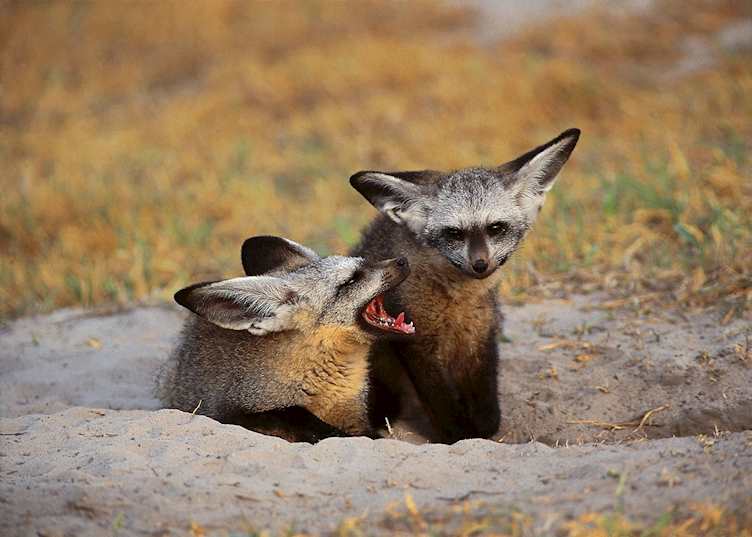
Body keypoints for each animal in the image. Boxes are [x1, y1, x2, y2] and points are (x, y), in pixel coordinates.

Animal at [157, 235, 414, 442]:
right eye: (350, 281)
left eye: (365, 262)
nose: (403, 260)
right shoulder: (230, 412)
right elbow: (295, 415)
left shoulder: (355, 416)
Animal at [349, 128, 581, 443]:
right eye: (454, 234)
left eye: (495, 228)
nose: (480, 264)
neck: (456, 304)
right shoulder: (416, 343)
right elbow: (444, 406)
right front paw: (459, 434)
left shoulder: (481, 333)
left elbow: (488, 411)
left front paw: (481, 428)